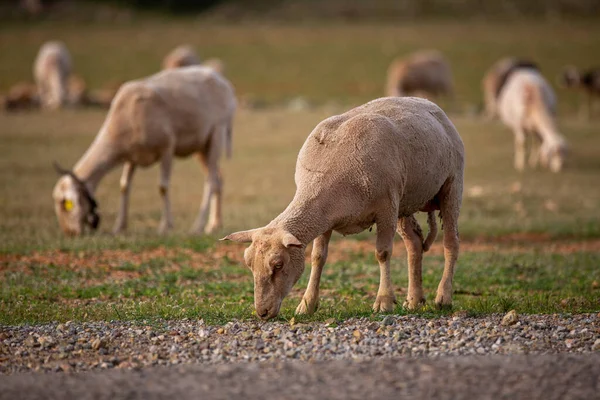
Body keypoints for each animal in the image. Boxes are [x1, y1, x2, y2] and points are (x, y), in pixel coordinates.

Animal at [52, 65, 237, 234]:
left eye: (65, 204)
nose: (70, 233)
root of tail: (222, 81)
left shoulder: (167, 148)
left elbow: (163, 187)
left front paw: (165, 226)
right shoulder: (131, 157)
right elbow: (124, 186)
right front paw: (119, 227)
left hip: (217, 133)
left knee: (211, 181)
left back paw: (198, 226)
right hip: (200, 147)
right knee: (219, 179)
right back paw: (214, 224)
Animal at [224, 96, 464, 318]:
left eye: (278, 265)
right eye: (249, 264)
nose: (262, 313)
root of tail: (424, 101)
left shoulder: (386, 208)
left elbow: (383, 253)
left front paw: (384, 301)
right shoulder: (325, 218)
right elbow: (318, 257)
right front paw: (307, 304)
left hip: (451, 185)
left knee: (451, 243)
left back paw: (443, 297)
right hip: (405, 201)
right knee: (414, 243)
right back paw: (414, 301)